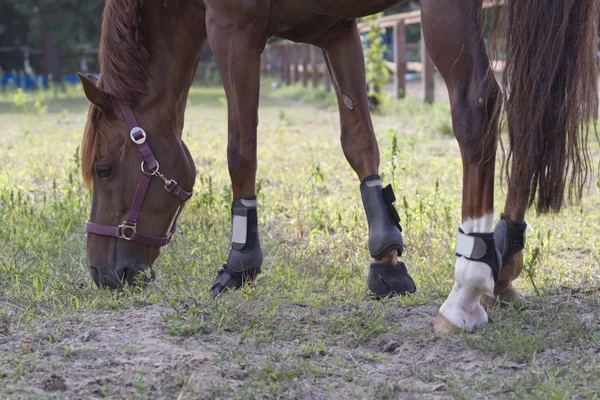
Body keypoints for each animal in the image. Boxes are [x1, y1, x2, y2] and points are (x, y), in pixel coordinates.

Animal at [78, 0, 596, 332]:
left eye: (104, 169)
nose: (102, 273)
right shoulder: (333, 28)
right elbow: (359, 141)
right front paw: (387, 259)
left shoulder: (233, 27)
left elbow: (241, 145)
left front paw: (241, 261)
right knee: (535, 106)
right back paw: (504, 263)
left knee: (478, 105)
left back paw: (467, 289)